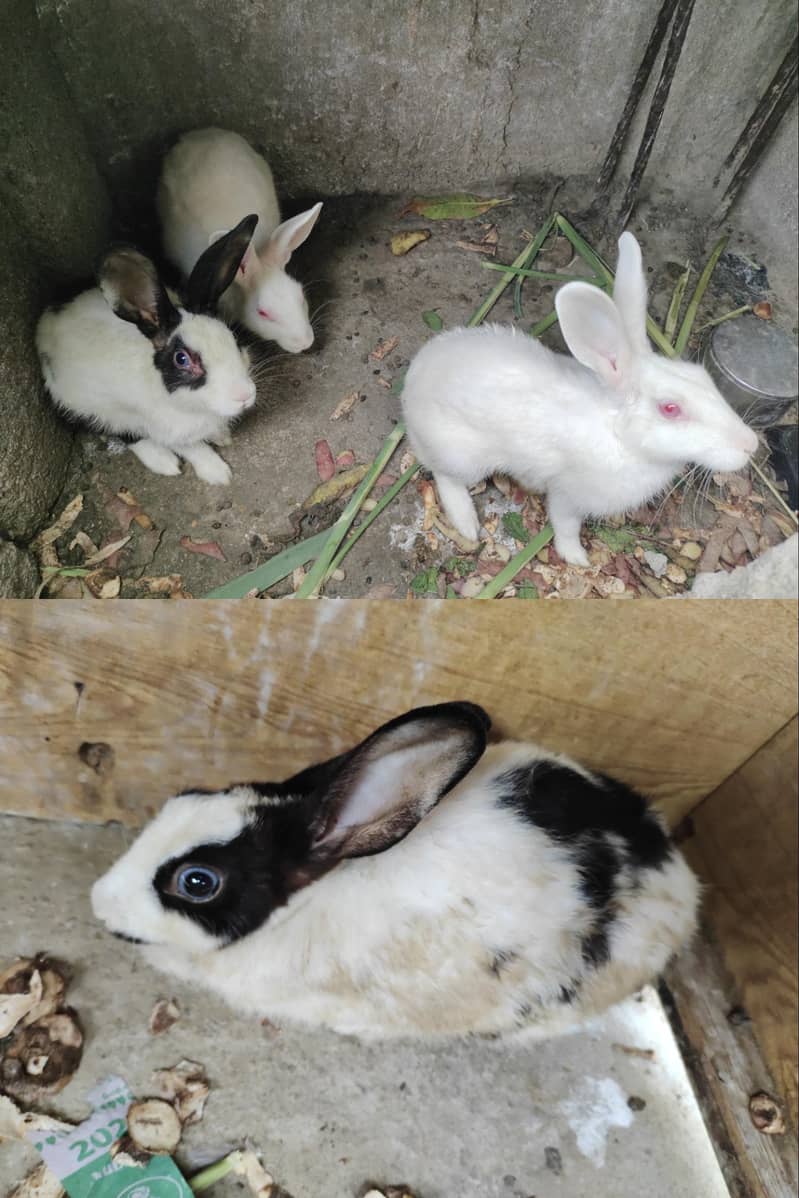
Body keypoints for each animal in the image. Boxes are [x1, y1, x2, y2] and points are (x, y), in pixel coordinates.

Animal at [36, 215, 260, 486]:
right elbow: (192, 447)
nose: (244, 395)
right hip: (89, 410)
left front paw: (222, 435)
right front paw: (218, 473)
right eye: (181, 359)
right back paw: (163, 462)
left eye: (233, 339)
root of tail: (45, 323)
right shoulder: (165, 428)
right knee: (127, 435)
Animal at [401, 232, 759, 566]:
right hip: (463, 457)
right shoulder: (568, 496)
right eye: (670, 409)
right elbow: (566, 526)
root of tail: (412, 383)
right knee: (444, 477)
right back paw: (466, 523)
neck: (620, 437)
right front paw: (577, 558)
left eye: (702, 376)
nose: (750, 444)